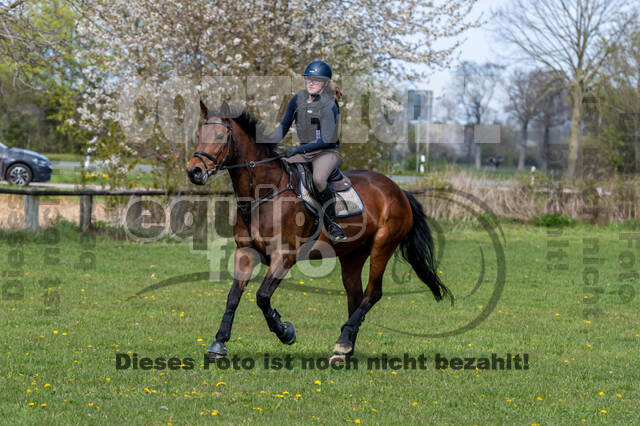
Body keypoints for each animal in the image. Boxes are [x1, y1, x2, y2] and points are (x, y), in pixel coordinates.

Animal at [188, 100, 452, 362]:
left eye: (220, 136)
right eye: (199, 135)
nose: (195, 171)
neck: (262, 195)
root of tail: (399, 190)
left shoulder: (284, 256)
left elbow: (262, 296)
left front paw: (286, 332)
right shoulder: (245, 252)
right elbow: (233, 296)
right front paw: (218, 344)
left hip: (382, 246)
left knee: (372, 293)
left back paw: (343, 344)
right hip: (353, 254)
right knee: (355, 295)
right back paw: (345, 347)